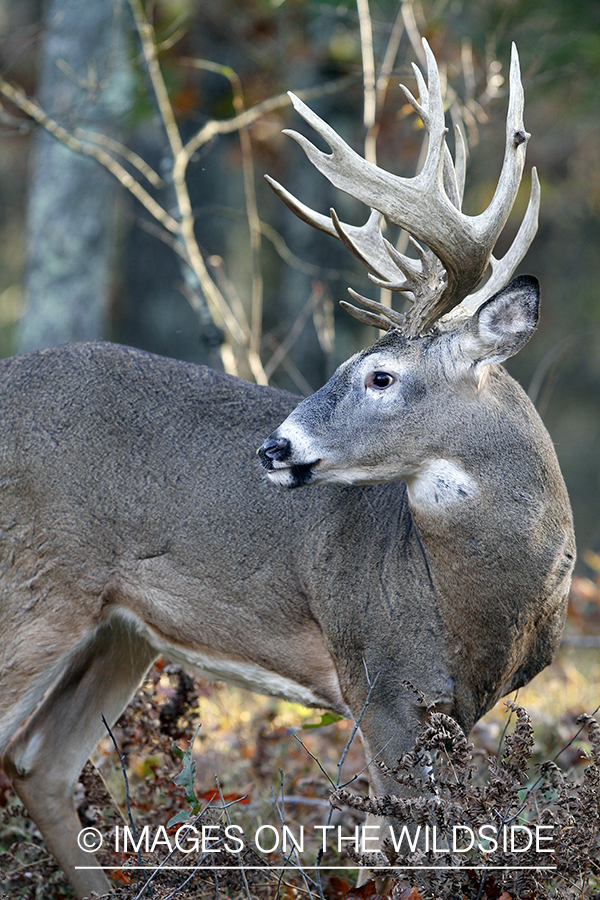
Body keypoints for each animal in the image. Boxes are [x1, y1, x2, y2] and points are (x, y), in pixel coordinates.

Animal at [0, 42, 572, 900]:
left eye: (380, 376)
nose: (274, 448)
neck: (479, 606)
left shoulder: (454, 715)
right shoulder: (381, 684)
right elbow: (406, 860)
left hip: (118, 628)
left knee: (41, 763)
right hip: (33, 587)